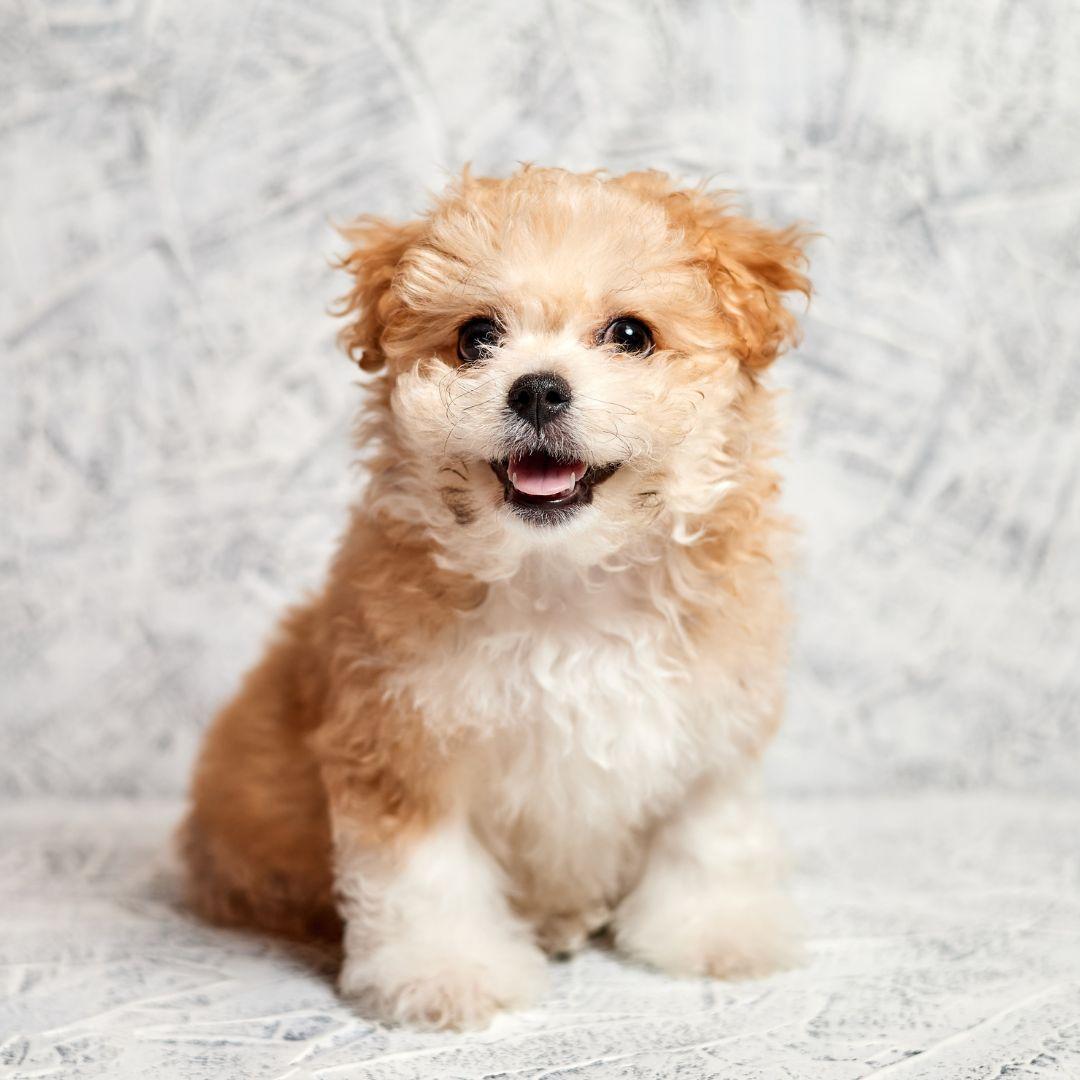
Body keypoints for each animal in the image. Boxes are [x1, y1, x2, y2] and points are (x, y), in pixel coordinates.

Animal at [181, 166, 812, 1028]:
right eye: (476, 337)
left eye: (631, 335)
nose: (538, 390)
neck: (562, 579)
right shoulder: (399, 742)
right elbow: (426, 874)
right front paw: (444, 973)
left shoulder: (713, 724)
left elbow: (709, 835)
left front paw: (714, 931)